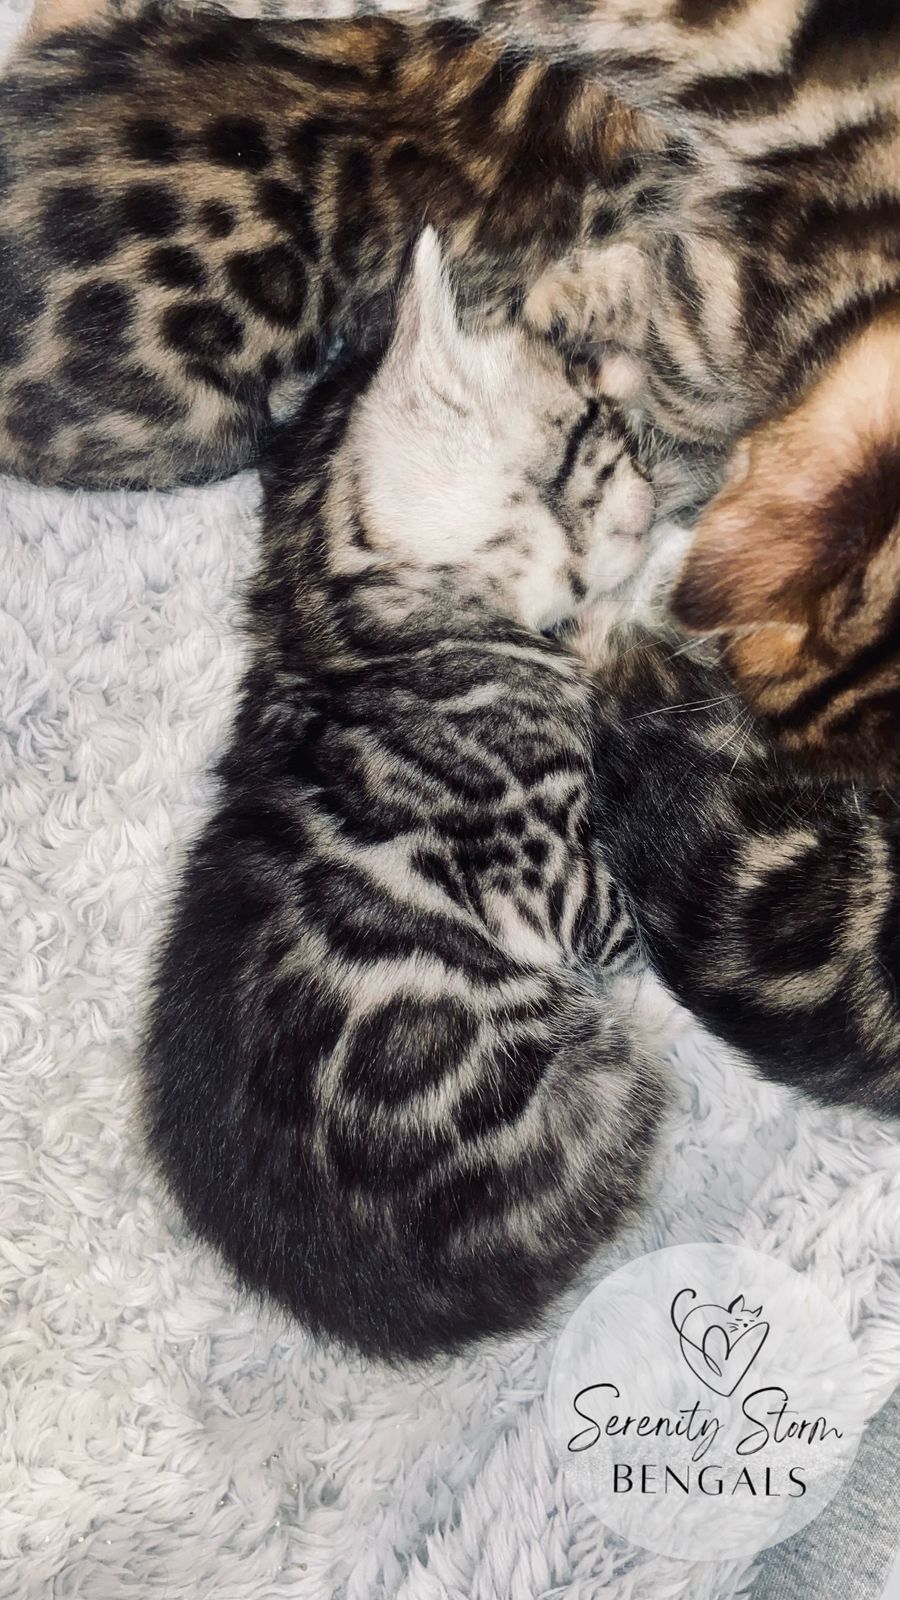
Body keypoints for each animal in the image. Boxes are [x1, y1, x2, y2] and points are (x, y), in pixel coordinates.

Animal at [140, 231, 675, 1362]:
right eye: (595, 439)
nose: (654, 474)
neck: (346, 625)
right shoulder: (551, 872)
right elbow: (621, 911)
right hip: (587, 1081)